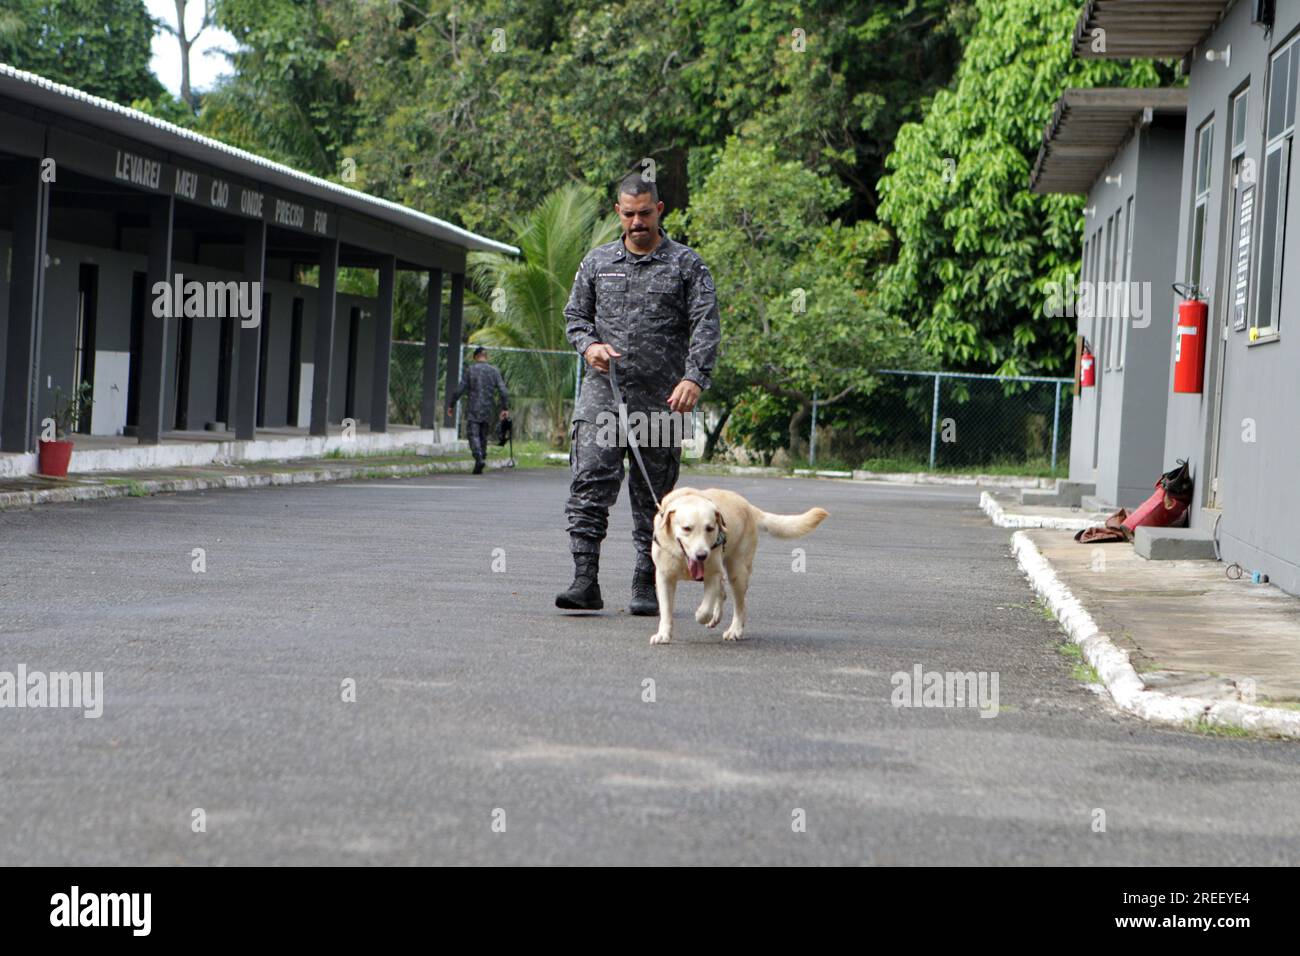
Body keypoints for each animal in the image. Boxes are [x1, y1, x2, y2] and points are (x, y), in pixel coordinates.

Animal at [655, 489, 826, 647]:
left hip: (738, 573)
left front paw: (700, 615)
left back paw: (734, 630)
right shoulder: (664, 578)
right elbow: (666, 610)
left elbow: (705, 609)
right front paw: (663, 635)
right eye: (687, 528)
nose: (702, 555)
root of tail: (748, 506)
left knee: (740, 606)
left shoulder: (712, 573)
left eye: (710, 528)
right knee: (723, 593)